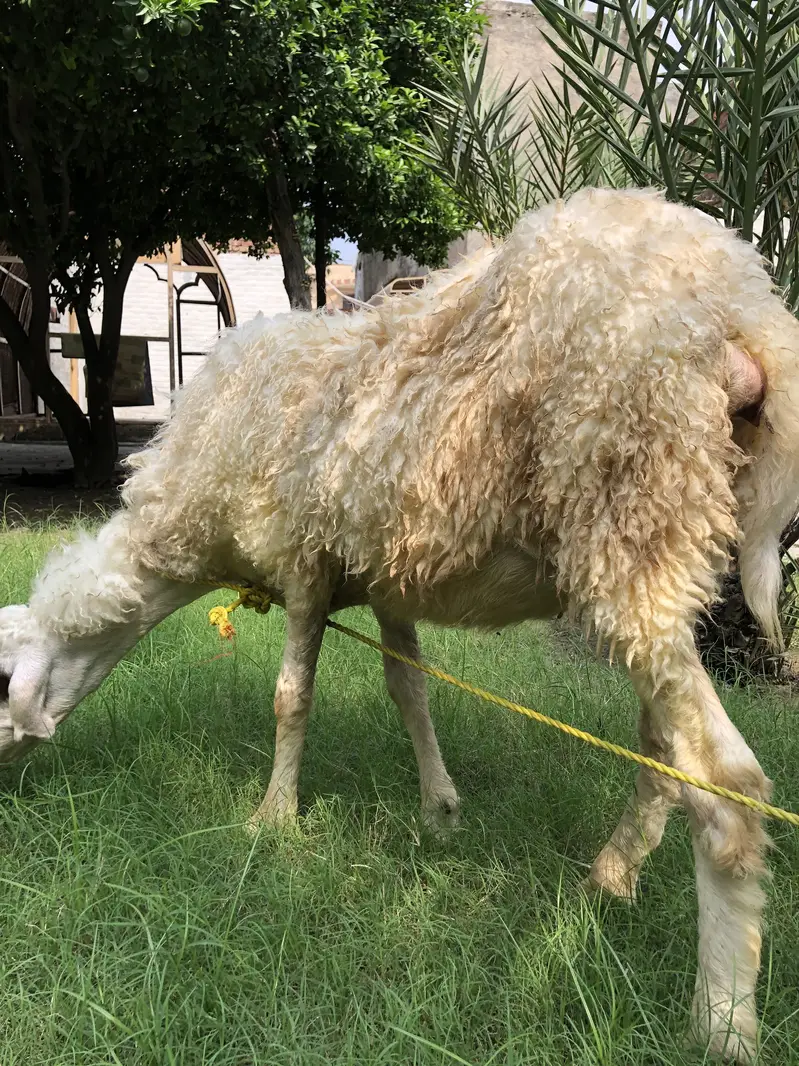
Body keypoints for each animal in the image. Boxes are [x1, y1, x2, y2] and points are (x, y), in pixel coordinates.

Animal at [1, 187, 797, 1061]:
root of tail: (738, 301)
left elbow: (290, 698)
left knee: (727, 787)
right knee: (664, 753)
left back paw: (722, 1019)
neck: (189, 508)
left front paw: (272, 822)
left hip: (631, 500)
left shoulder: (303, 557)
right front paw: (438, 811)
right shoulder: (382, 575)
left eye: (1, 683)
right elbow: (407, 689)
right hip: (667, 545)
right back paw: (610, 877)